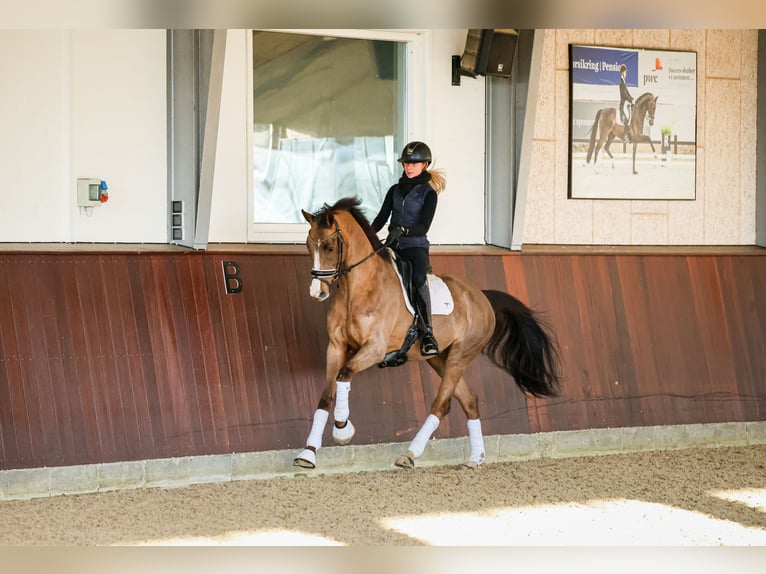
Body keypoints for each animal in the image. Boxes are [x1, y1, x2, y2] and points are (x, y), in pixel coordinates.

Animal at [292, 198, 560, 472]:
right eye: (308, 246)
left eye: (330, 247)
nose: (317, 292)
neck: (359, 289)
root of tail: (482, 296)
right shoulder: (336, 347)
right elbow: (326, 396)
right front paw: (308, 453)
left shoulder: (375, 349)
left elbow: (344, 376)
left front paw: (343, 429)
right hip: (439, 358)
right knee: (469, 400)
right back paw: (474, 458)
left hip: (461, 355)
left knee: (442, 404)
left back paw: (410, 454)